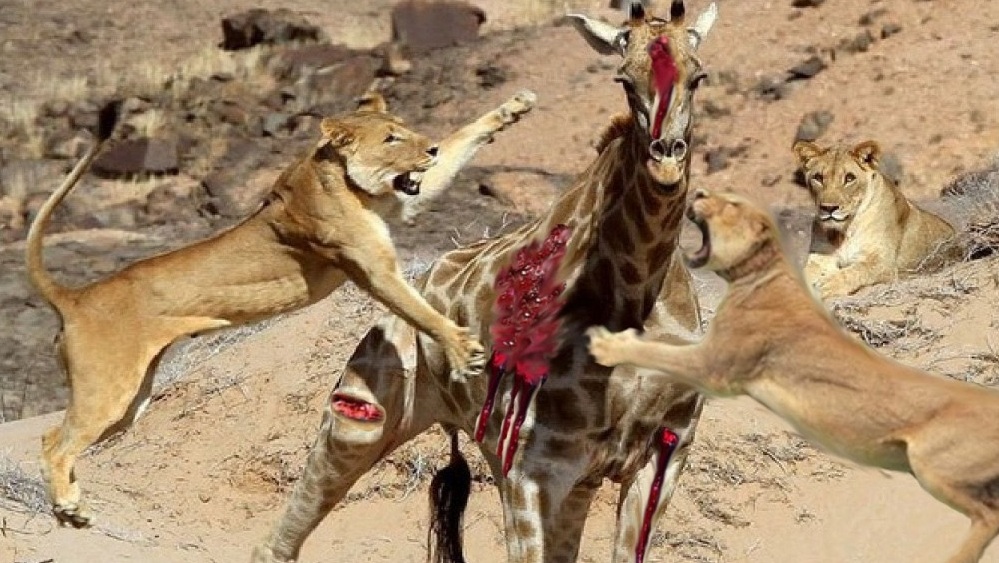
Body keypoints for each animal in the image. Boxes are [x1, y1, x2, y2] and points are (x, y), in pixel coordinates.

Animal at [26, 90, 537, 527]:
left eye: (407, 129)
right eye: (392, 138)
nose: (426, 148)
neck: (342, 179)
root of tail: (74, 298)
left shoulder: (399, 208)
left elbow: (460, 142)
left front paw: (512, 108)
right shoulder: (373, 271)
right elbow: (422, 313)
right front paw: (463, 348)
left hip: (131, 404)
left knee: (66, 442)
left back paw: (72, 511)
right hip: (109, 389)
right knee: (53, 443)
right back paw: (69, 506)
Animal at [252, 2, 718, 562]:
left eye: (699, 75)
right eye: (624, 79)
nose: (666, 159)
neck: (636, 293)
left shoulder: (664, 453)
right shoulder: (532, 464)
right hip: (360, 417)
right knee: (281, 536)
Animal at [588, 189, 999, 563]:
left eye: (731, 203)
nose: (699, 193)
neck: (759, 274)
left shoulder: (714, 364)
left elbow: (659, 351)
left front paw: (609, 344)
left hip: (934, 466)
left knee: (988, 514)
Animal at [792, 139, 958, 298]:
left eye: (849, 178)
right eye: (818, 178)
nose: (829, 208)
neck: (845, 231)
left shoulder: (882, 264)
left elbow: (856, 271)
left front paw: (826, 285)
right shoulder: (820, 259)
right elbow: (805, 273)